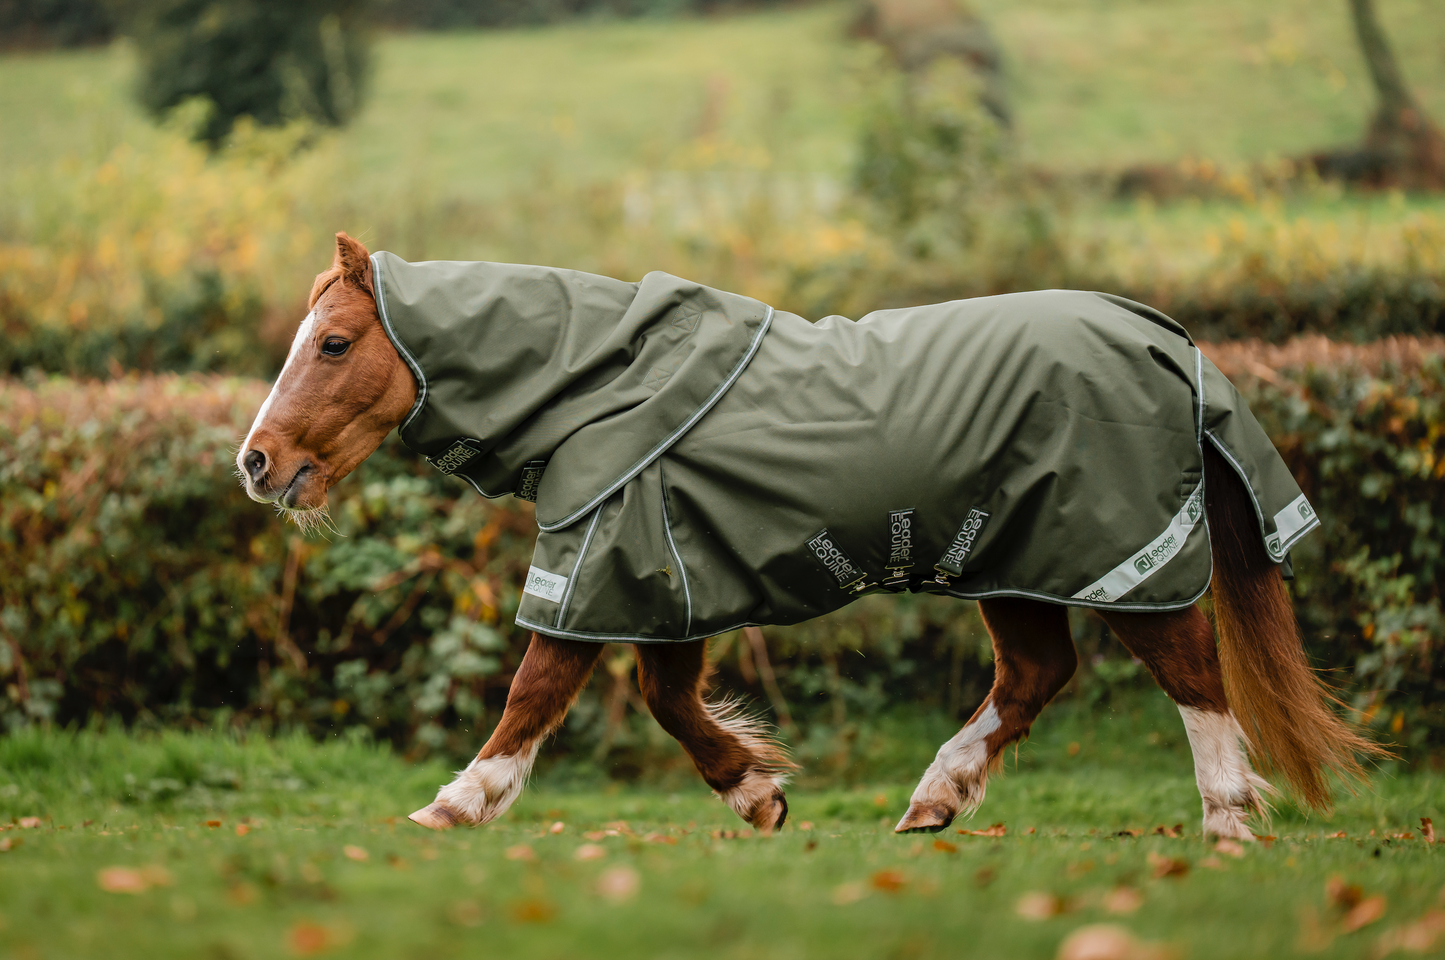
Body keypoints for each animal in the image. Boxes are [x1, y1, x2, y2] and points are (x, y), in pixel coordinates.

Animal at [238, 232, 1379, 839]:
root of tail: (1158, 336)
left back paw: (1225, 823)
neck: (599, 385)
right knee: (1033, 675)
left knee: (1190, 672)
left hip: (1113, 560)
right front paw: (756, 795)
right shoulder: (666, 577)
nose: (254, 462)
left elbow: (536, 690)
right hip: (1008, 564)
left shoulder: (594, 560)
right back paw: (933, 801)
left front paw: (458, 804)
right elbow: (665, 700)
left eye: (332, 343)